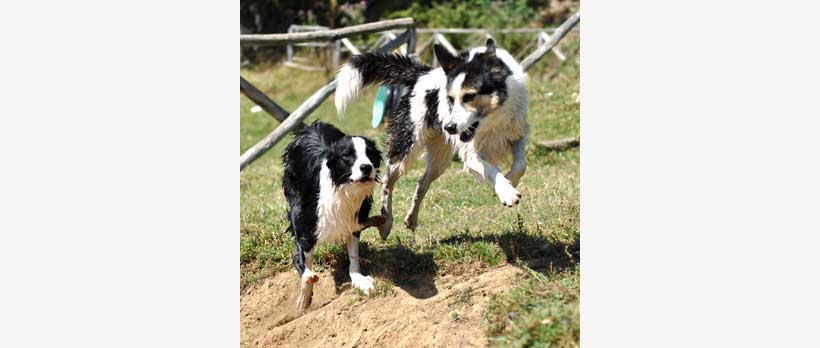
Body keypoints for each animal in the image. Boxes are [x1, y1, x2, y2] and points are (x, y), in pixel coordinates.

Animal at [282, 121, 384, 308]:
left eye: (370, 154)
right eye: (347, 155)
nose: (367, 167)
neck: (343, 189)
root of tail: (312, 125)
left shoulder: (353, 219)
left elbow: (353, 255)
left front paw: (360, 281)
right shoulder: (306, 225)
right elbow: (301, 258)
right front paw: (304, 296)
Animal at [334, 38, 532, 239]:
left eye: (469, 96)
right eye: (450, 98)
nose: (449, 128)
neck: (493, 119)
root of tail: (421, 74)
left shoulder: (517, 133)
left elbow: (521, 164)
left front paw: (510, 180)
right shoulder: (470, 155)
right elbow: (492, 169)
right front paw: (506, 192)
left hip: (440, 159)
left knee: (422, 183)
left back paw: (411, 218)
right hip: (405, 149)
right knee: (387, 183)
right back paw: (386, 222)